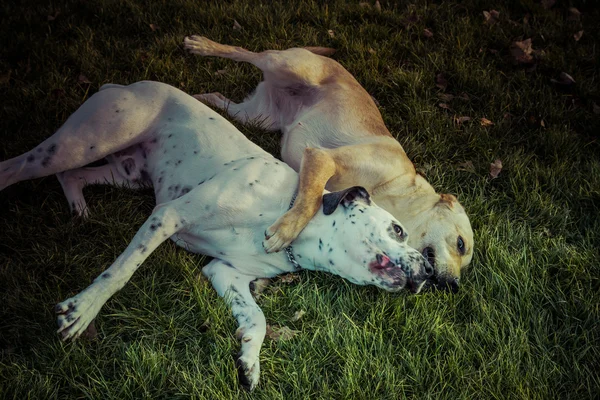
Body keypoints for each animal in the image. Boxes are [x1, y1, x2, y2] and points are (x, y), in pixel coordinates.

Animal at [0, 80, 432, 390]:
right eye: (398, 230)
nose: (429, 271)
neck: (290, 219)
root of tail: (125, 84)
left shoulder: (225, 273)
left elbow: (256, 318)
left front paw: (249, 363)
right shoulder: (169, 215)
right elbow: (120, 273)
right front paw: (83, 310)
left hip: (126, 173)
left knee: (72, 177)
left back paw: (80, 210)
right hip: (84, 142)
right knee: (16, 167)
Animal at [183, 36, 474, 294]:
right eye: (460, 244)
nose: (454, 286)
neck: (395, 189)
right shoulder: (322, 157)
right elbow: (311, 198)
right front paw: (285, 232)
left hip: (255, 116)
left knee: (219, 96)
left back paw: (196, 96)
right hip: (284, 63)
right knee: (244, 52)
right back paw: (202, 46)